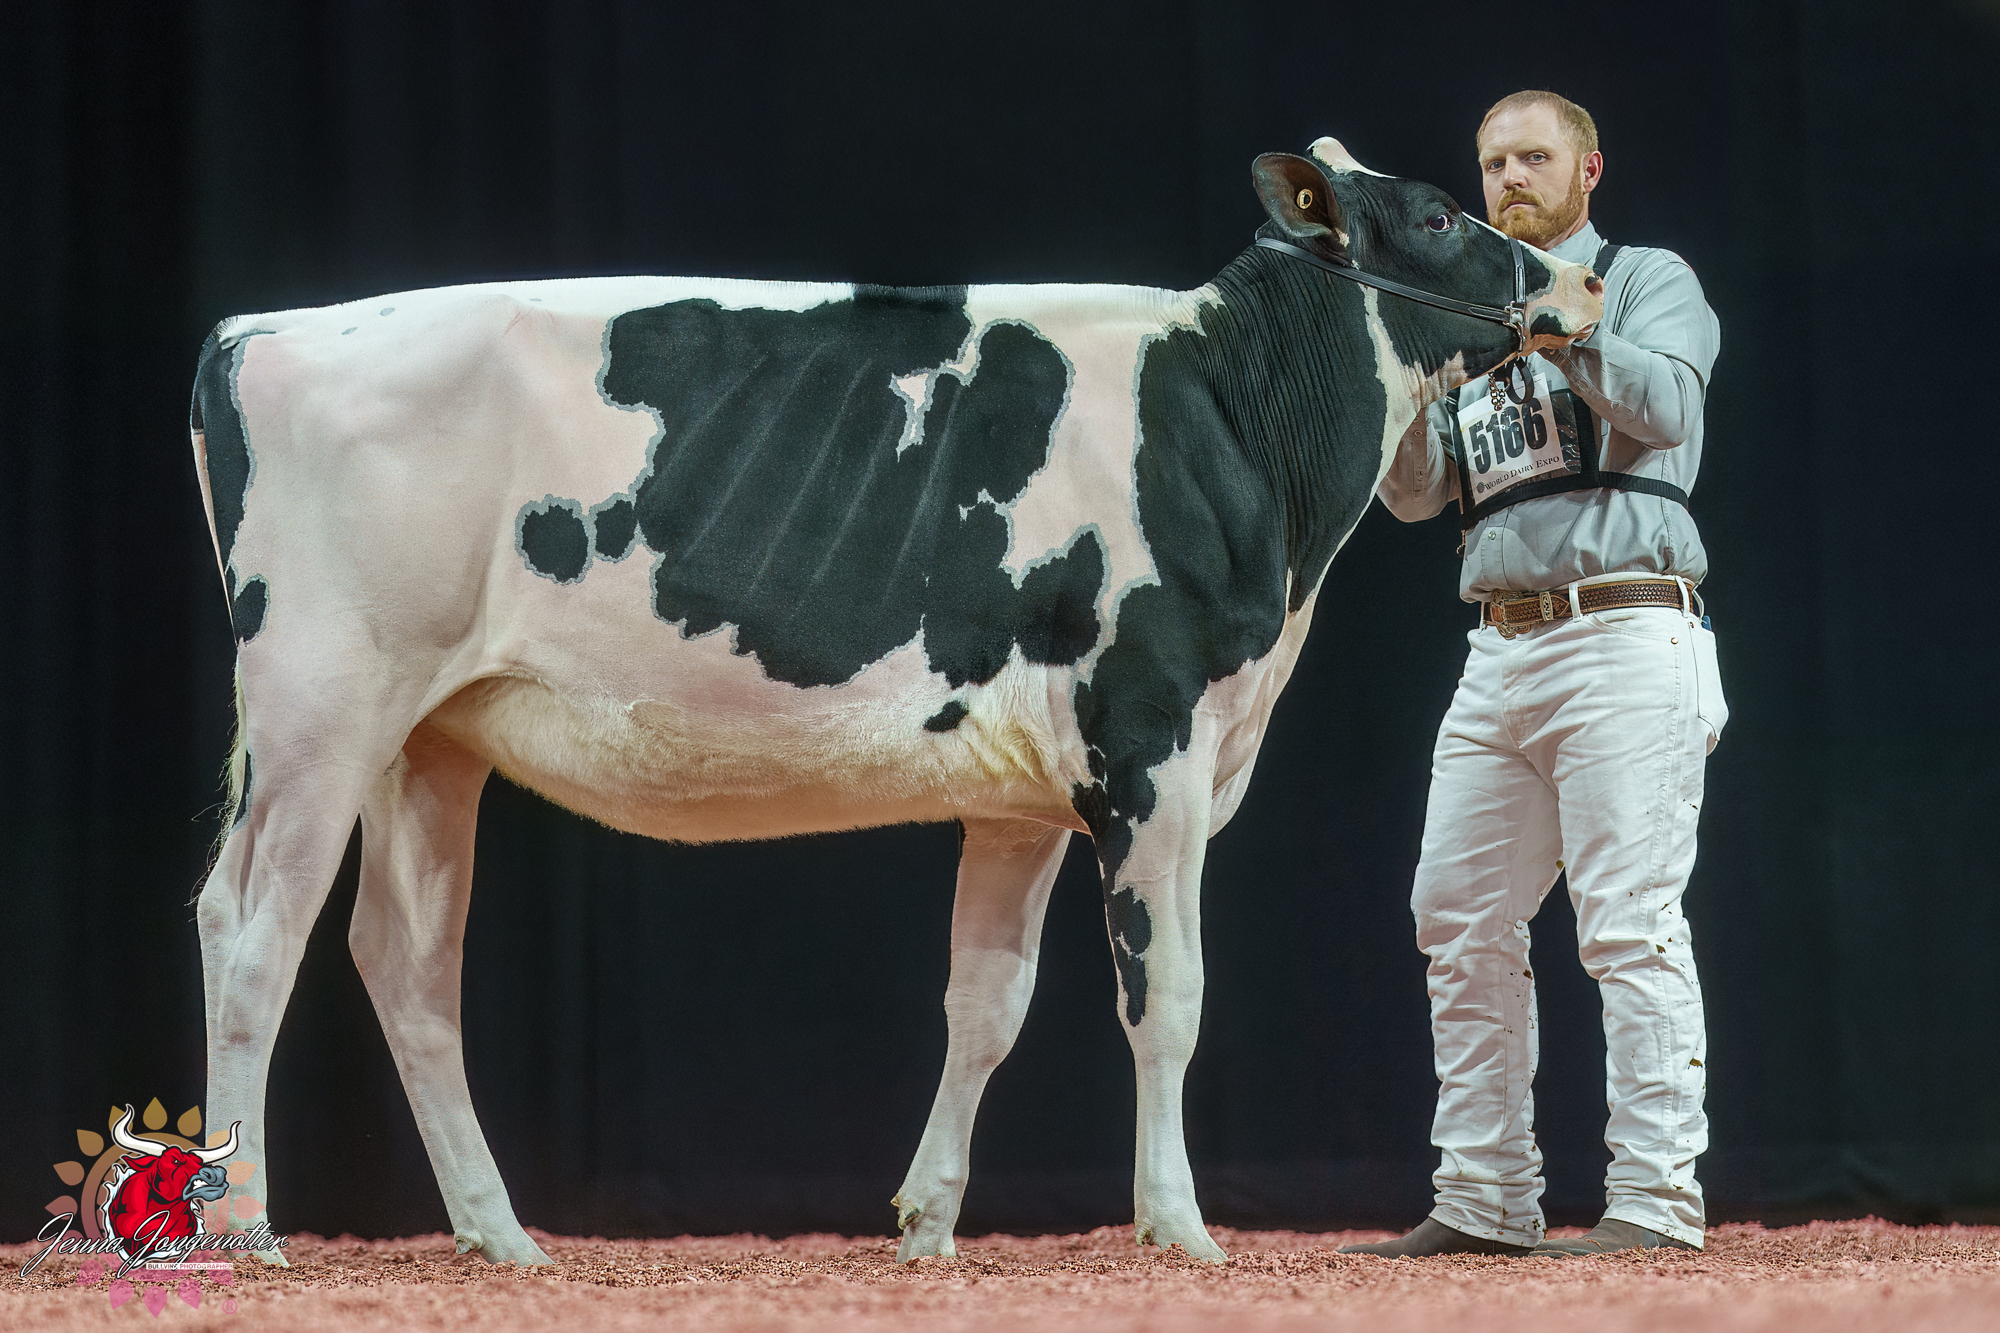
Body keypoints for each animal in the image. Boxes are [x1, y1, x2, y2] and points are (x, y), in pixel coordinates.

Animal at [189, 137, 1600, 1266]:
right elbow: (1168, 999)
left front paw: (926, 1222)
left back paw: (500, 1236)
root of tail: (258, 329)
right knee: (252, 934)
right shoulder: (1152, 738)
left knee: (403, 961)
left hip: (427, 735)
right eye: (1434, 213)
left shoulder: (1028, 792)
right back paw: (242, 1230)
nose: (1578, 283)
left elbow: (984, 1003)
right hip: (323, 703)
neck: (1228, 425)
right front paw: (1178, 1225)